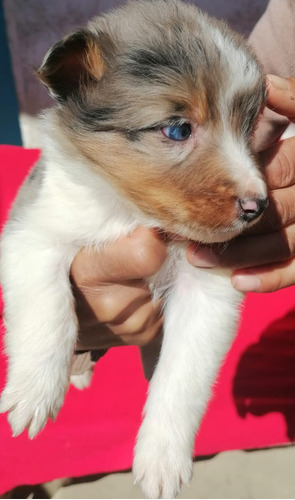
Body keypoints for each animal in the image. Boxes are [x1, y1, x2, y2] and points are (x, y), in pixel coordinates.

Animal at [0, 1, 268, 498]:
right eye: (178, 129)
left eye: (249, 127)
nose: (257, 206)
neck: (132, 213)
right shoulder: (32, 231)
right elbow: (48, 306)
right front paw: (33, 392)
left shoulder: (207, 292)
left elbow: (182, 375)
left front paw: (162, 458)